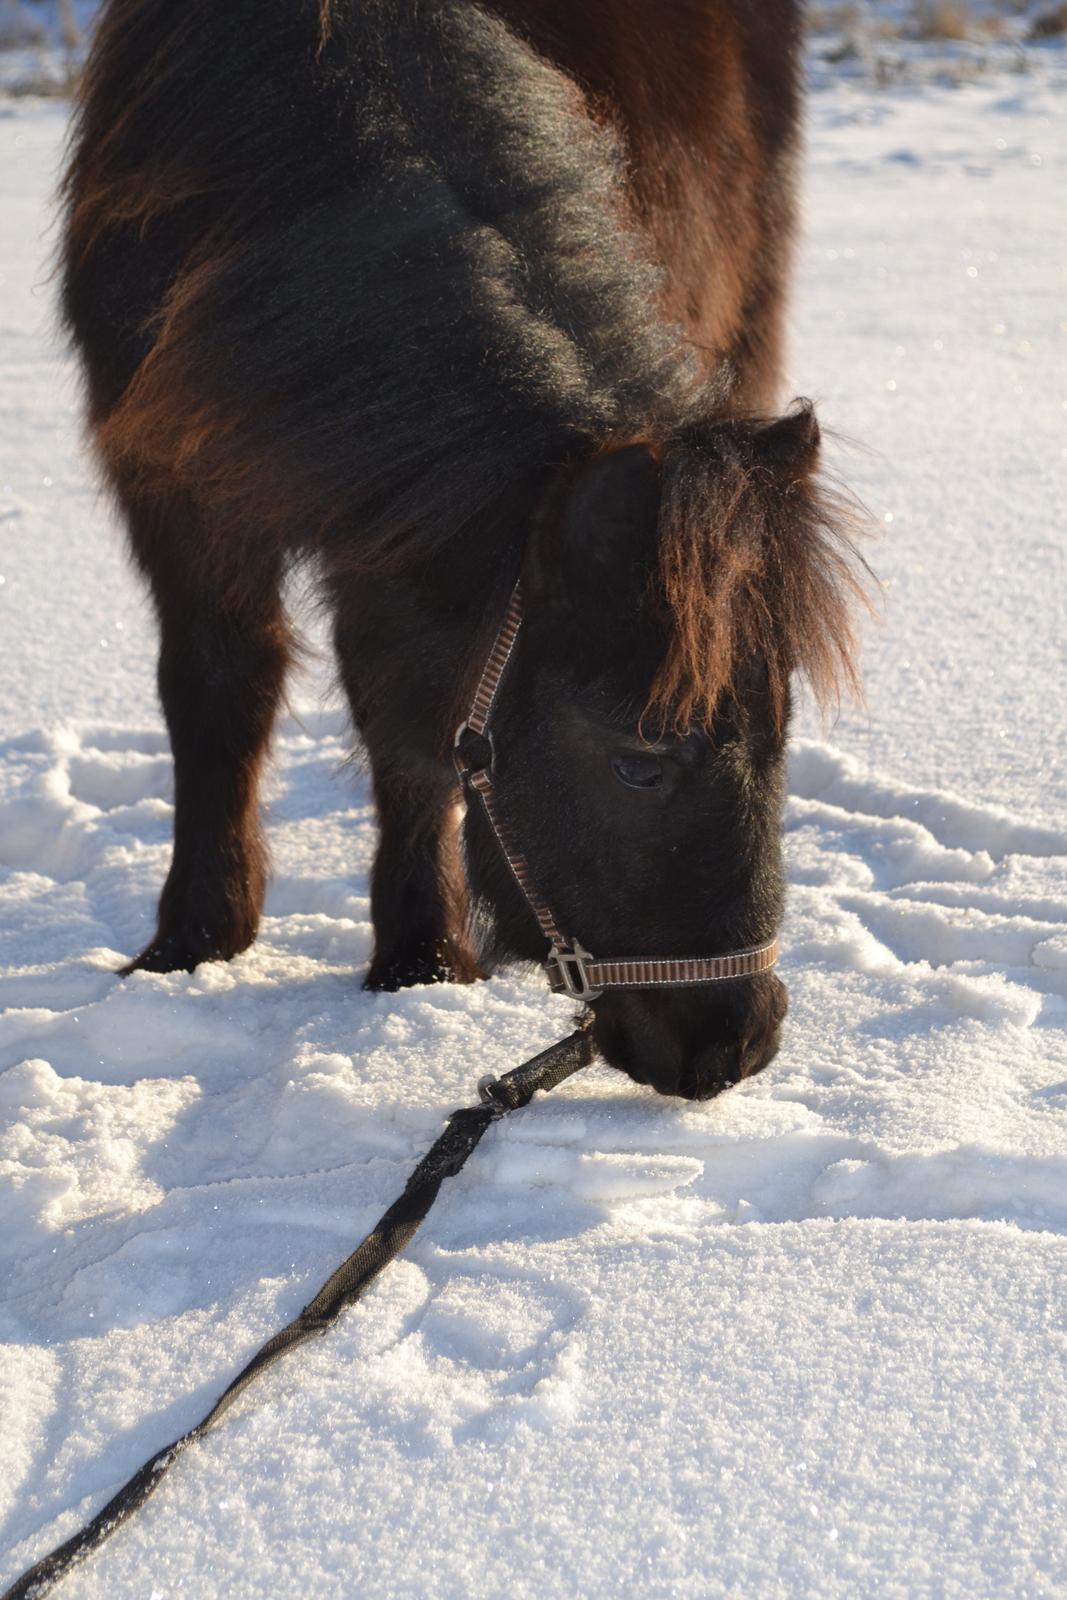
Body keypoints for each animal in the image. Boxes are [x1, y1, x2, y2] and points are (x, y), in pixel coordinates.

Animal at [60, 0, 870, 1100]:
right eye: (639, 763)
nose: (738, 1043)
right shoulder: (172, 484)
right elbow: (222, 690)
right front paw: (193, 942)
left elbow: (404, 728)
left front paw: (420, 962)